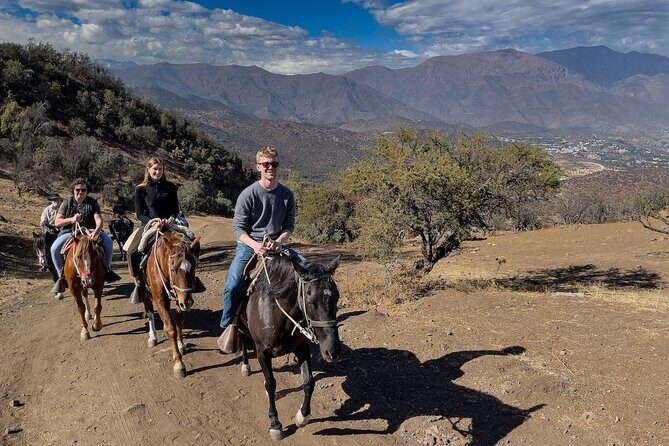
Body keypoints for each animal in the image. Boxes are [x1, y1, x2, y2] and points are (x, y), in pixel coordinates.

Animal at [139, 230, 200, 378]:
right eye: (173, 269)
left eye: (193, 267)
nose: (188, 302)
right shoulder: (160, 300)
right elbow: (170, 328)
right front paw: (179, 364)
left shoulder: (180, 298)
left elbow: (179, 320)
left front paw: (181, 345)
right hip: (145, 293)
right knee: (149, 312)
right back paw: (152, 337)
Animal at [237, 253, 341, 441]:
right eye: (311, 302)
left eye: (337, 297)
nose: (333, 351)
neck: (277, 312)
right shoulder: (262, 352)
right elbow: (271, 384)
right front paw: (275, 424)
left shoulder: (301, 347)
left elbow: (309, 381)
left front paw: (302, 416)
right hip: (241, 326)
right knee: (242, 340)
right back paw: (245, 366)